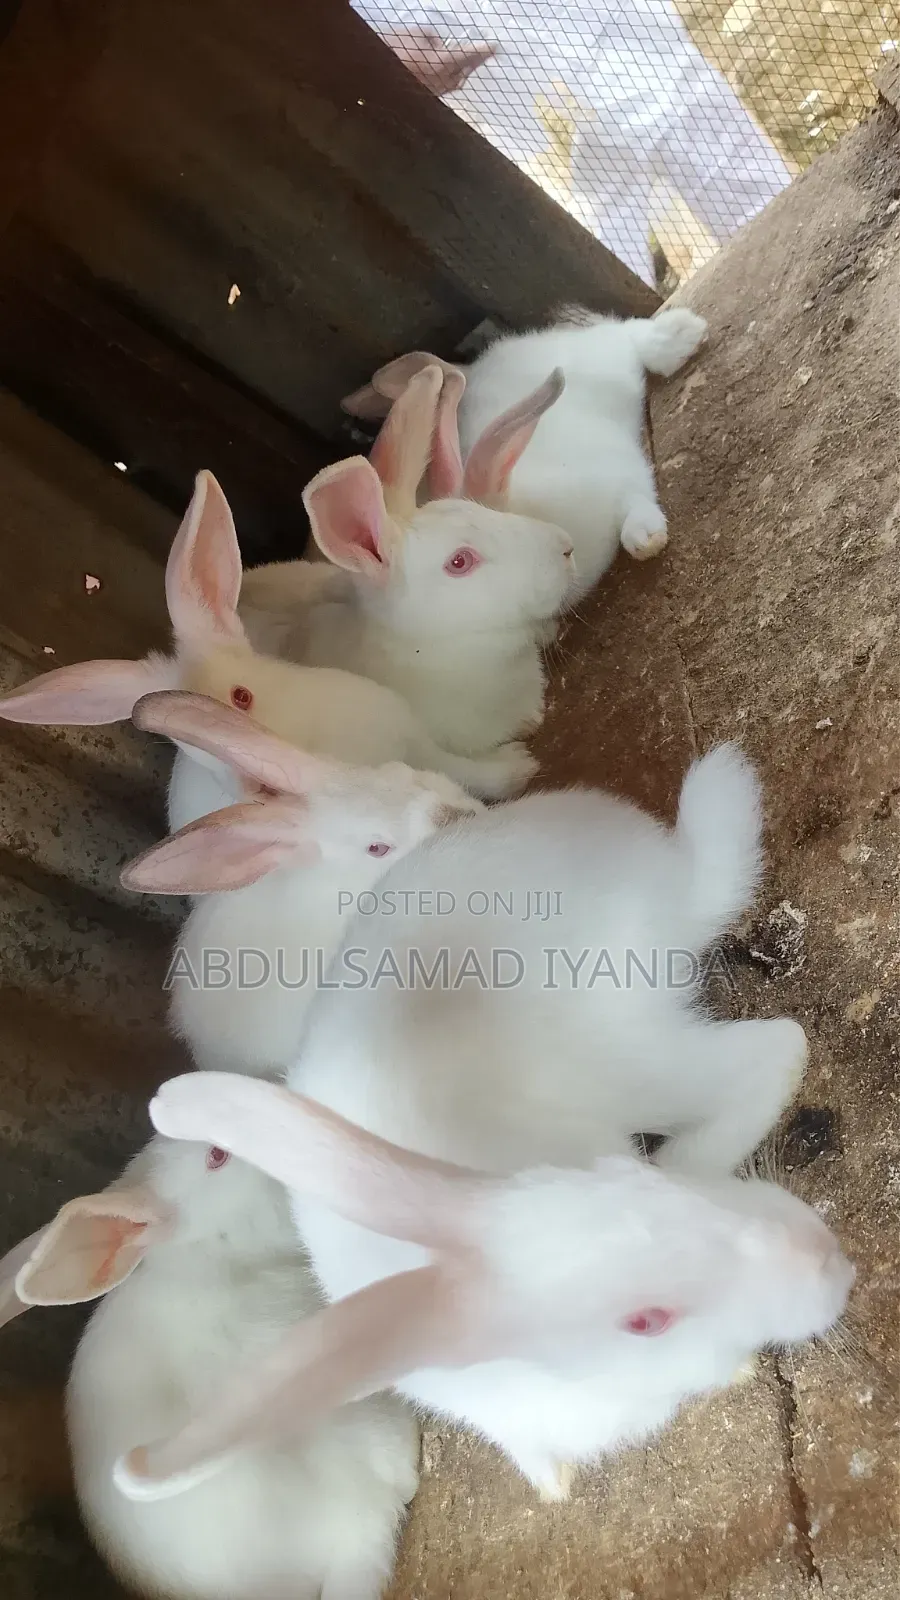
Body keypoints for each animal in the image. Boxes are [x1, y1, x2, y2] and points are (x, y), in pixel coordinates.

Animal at [0, 470, 538, 825]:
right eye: (186, 747)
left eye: (242, 698)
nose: (260, 788)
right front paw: (524, 770)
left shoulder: (413, 736)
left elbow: (467, 769)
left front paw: (520, 769)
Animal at [341, 305, 709, 602]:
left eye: (461, 560)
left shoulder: (619, 472)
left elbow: (637, 502)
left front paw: (645, 539)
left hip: (603, 362)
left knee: (625, 333)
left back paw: (681, 336)